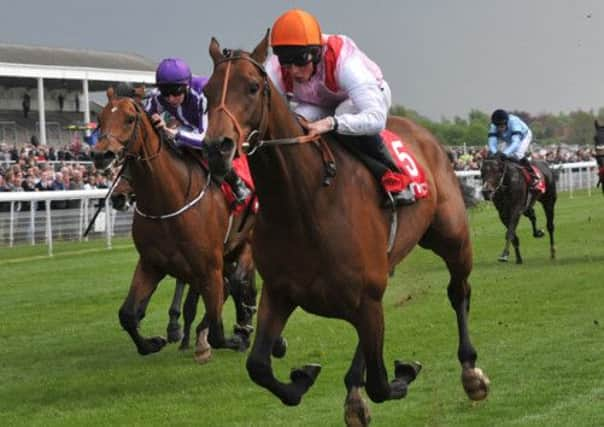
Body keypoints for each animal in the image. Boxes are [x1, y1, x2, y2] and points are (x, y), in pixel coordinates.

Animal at [92, 90, 258, 364]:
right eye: (100, 118)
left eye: (129, 119)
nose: (100, 155)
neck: (167, 201)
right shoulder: (151, 263)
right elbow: (128, 315)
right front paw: (153, 342)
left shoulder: (208, 266)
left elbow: (218, 331)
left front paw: (231, 337)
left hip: (246, 244)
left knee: (239, 283)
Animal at [201, 34, 488, 427]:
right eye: (207, 91)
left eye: (253, 87)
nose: (217, 148)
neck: (304, 205)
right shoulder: (280, 292)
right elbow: (258, 365)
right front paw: (303, 377)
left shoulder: (365, 297)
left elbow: (382, 385)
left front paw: (404, 371)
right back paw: (353, 390)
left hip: (452, 237)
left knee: (459, 291)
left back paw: (471, 372)